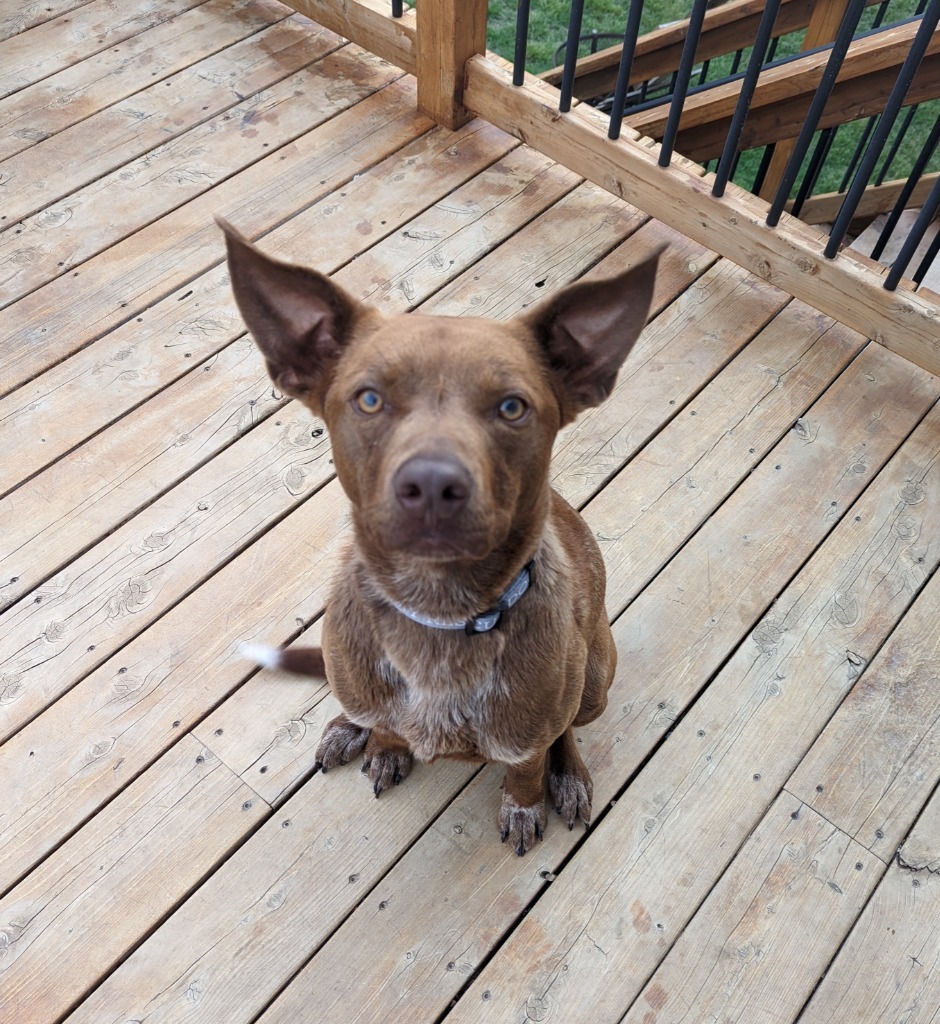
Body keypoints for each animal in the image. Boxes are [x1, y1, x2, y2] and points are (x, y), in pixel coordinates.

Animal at [220, 220, 663, 851]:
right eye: (370, 398)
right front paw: (382, 744)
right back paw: (348, 727)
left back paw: (570, 774)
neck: (439, 615)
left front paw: (526, 802)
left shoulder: (529, 735)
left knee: (569, 724)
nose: (431, 485)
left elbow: (527, 766)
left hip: (596, 672)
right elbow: (385, 727)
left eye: (512, 407)